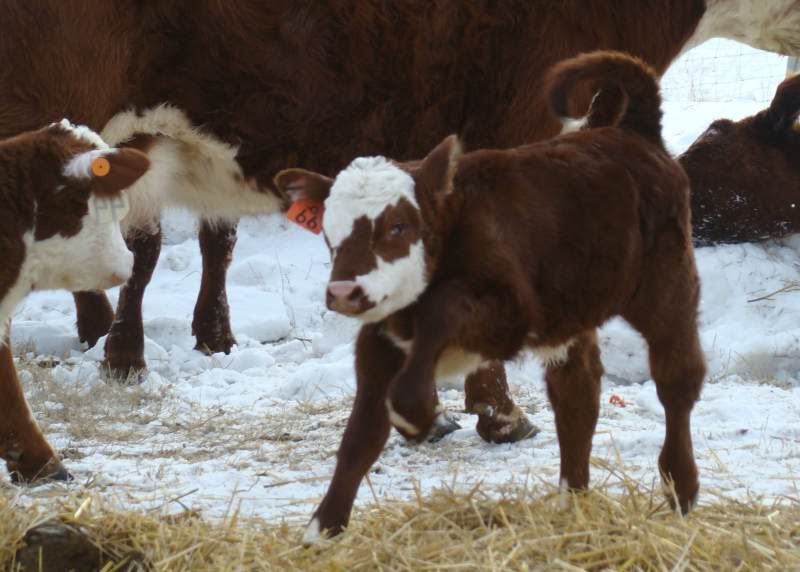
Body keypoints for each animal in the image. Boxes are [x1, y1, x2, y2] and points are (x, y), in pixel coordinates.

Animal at [274, 50, 706, 542]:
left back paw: (680, 486)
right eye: (330, 231)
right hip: (570, 308)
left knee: (677, 377)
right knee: (577, 394)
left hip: (665, 284)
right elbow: (360, 438)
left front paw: (417, 413)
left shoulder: (510, 311)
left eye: (399, 226)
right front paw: (321, 530)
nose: (344, 291)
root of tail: (634, 131)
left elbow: (442, 313)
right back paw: (572, 505)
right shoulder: (380, 339)